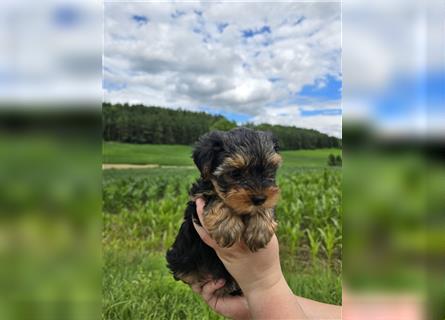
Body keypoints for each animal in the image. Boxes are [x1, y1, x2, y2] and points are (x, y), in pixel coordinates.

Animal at [166, 127, 280, 296]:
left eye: (269, 170)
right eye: (235, 173)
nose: (259, 198)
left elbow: (267, 207)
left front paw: (260, 229)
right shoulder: (197, 201)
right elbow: (216, 197)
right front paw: (226, 227)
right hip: (180, 258)